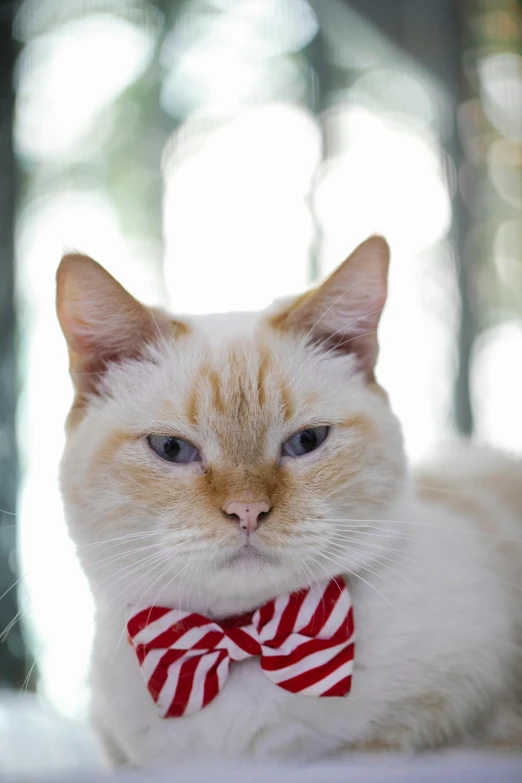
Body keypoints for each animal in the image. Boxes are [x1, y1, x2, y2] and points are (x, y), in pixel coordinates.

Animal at [55, 234, 520, 764]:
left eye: (306, 441)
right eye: (171, 449)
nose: (248, 511)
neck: (241, 640)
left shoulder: (424, 743)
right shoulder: (126, 757)